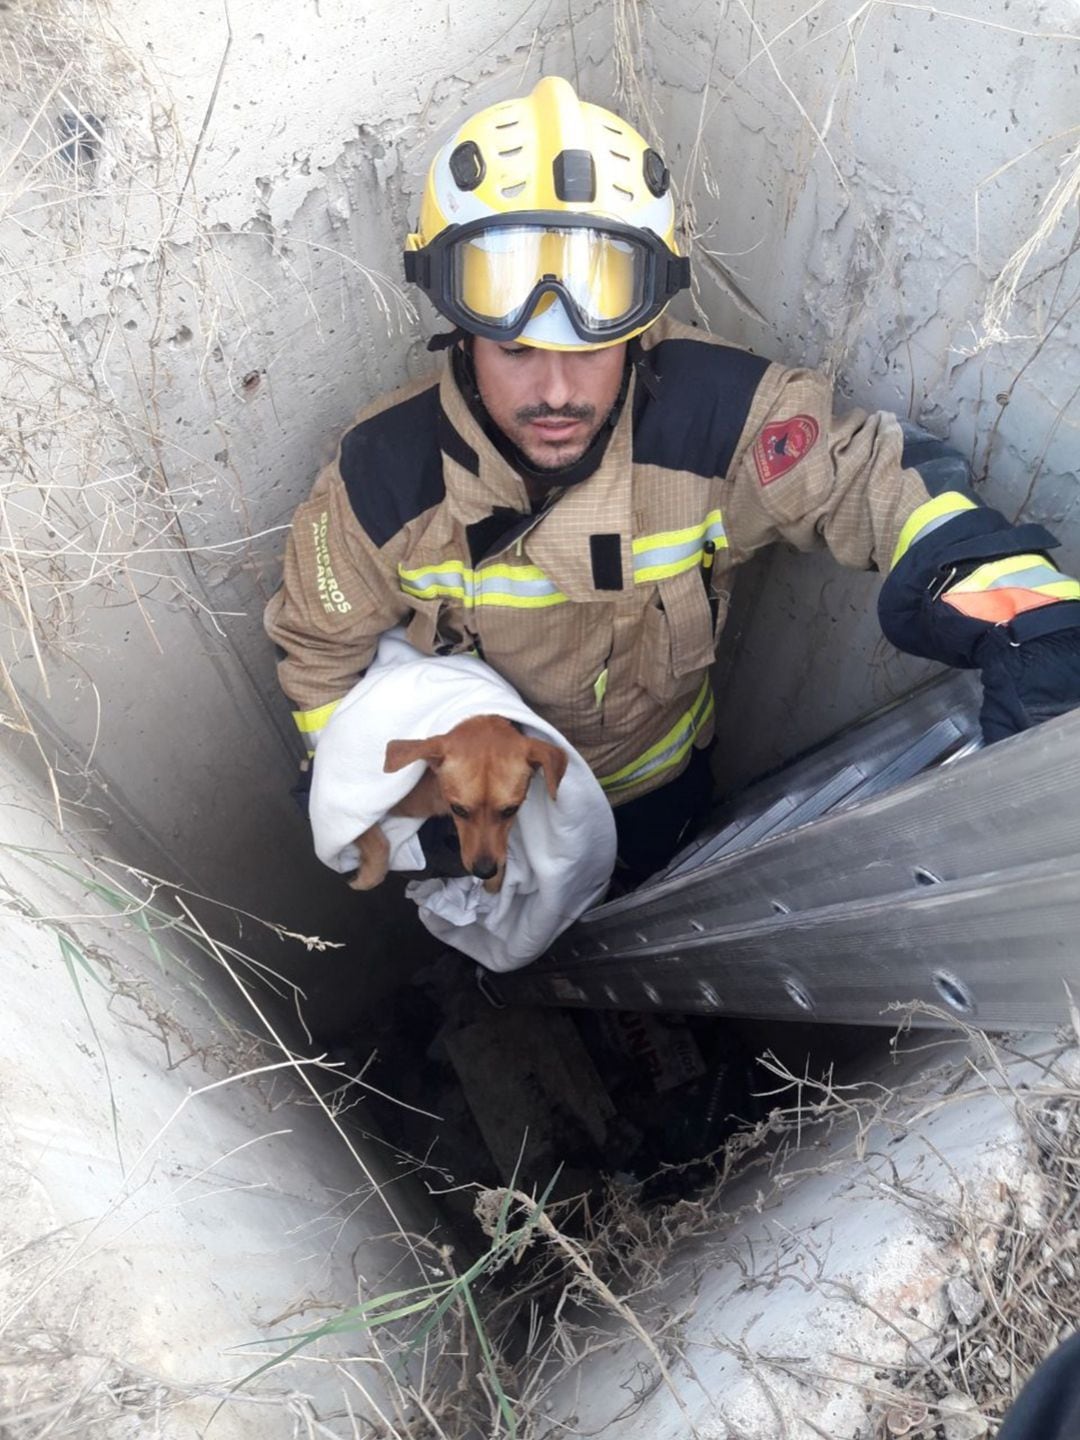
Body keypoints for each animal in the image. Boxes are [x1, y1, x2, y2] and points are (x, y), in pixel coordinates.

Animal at [351, 714, 570, 892]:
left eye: (510, 810)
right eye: (458, 810)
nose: (484, 871)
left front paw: (495, 881)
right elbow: (378, 842)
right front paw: (366, 878)